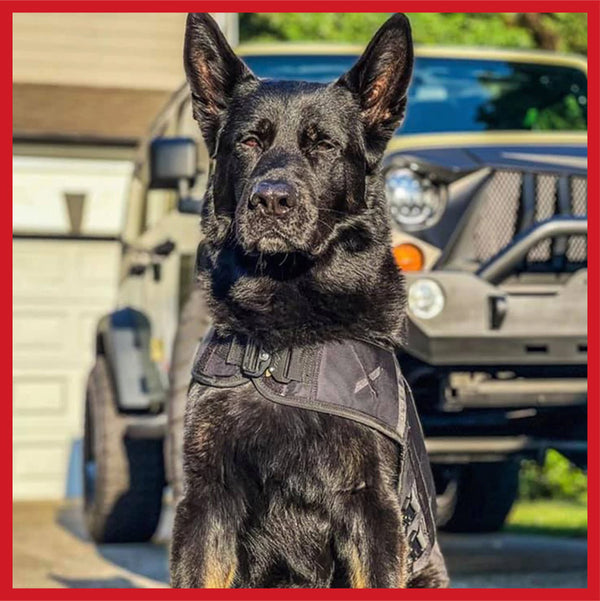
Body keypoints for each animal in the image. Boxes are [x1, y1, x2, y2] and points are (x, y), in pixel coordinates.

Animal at [171, 11, 448, 588]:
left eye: (322, 145)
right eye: (249, 142)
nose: (272, 200)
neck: (282, 334)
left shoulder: (372, 510)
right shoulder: (206, 503)